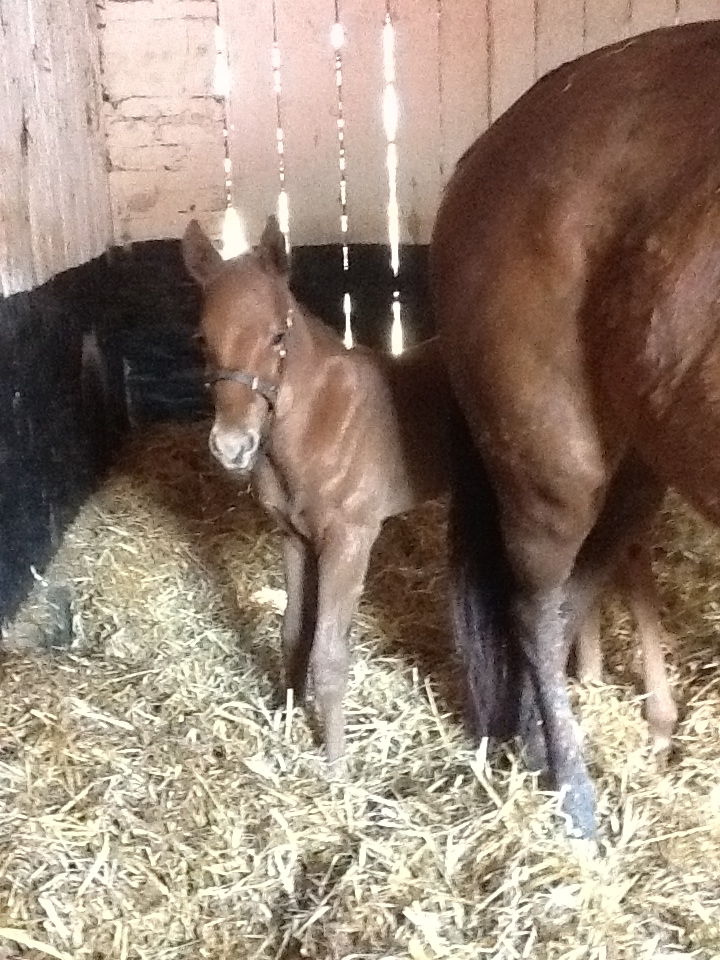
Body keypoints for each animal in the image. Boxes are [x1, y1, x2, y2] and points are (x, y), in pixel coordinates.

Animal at [181, 217, 678, 768]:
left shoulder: (350, 539)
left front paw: (335, 767)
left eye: (277, 335)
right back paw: (587, 675)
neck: (318, 422)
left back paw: (657, 720)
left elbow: (329, 654)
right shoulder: (292, 536)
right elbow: (293, 632)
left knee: (631, 564)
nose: (232, 446)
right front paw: (284, 718)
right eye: (202, 338)